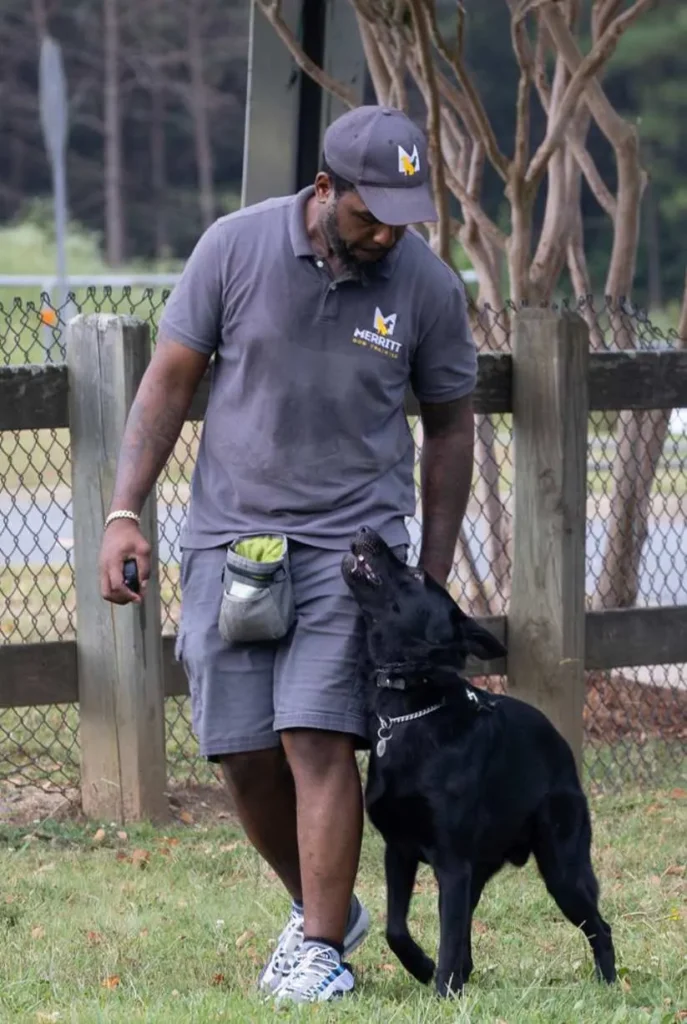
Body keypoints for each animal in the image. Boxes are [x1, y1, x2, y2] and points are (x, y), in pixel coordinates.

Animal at [344, 532, 618, 995]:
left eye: (417, 575)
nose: (366, 531)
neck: (412, 707)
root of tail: (562, 746)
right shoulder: (399, 852)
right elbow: (396, 929)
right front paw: (423, 967)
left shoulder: (453, 866)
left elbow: (448, 937)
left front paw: (441, 991)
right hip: (484, 872)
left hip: (561, 869)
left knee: (600, 925)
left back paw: (609, 981)